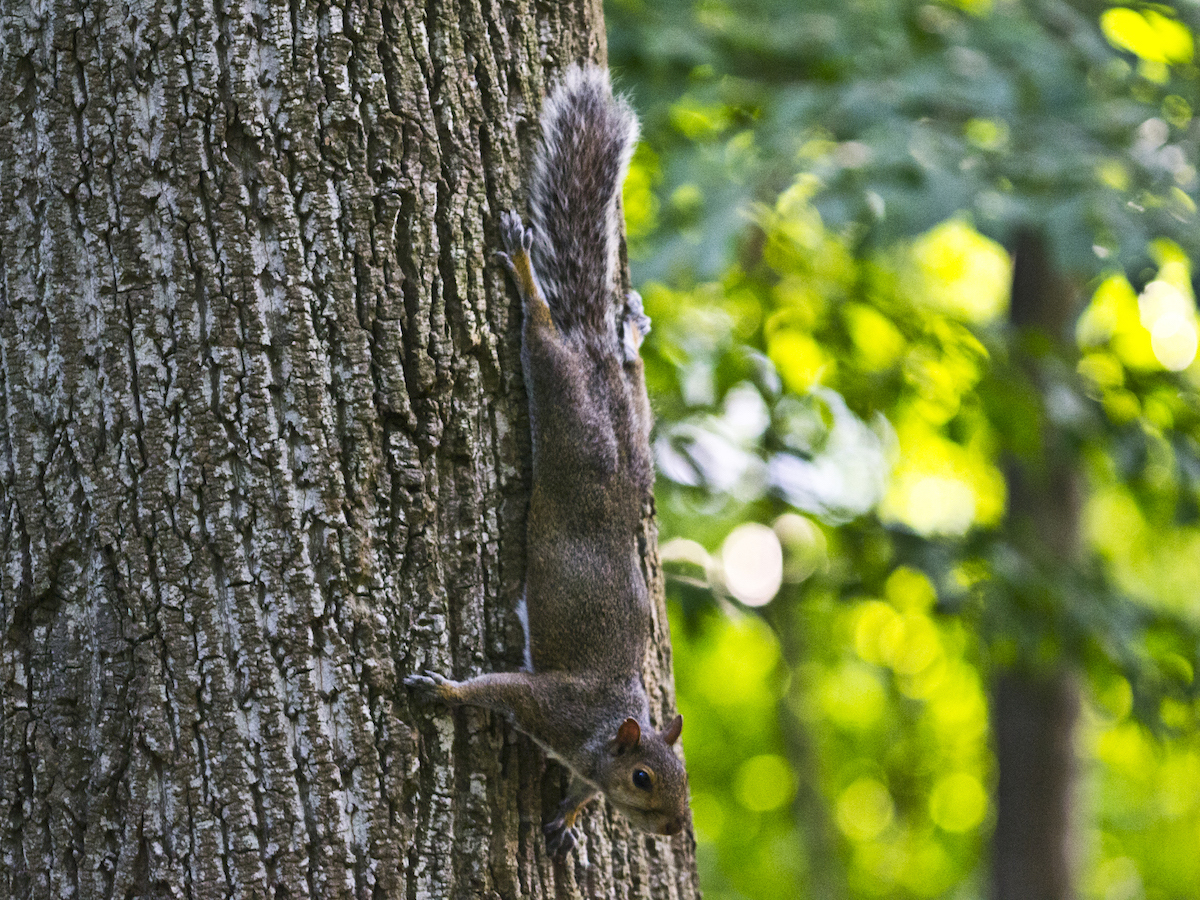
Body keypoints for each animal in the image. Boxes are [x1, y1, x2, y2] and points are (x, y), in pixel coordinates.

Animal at [405, 64, 689, 860]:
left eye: (683, 775)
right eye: (645, 779)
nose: (677, 827)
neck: (601, 735)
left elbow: (583, 793)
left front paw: (568, 814)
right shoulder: (550, 704)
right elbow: (494, 690)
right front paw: (442, 692)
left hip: (631, 427)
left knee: (626, 373)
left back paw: (628, 332)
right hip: (566, 409)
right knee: (542, 335)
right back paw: (530, 277)